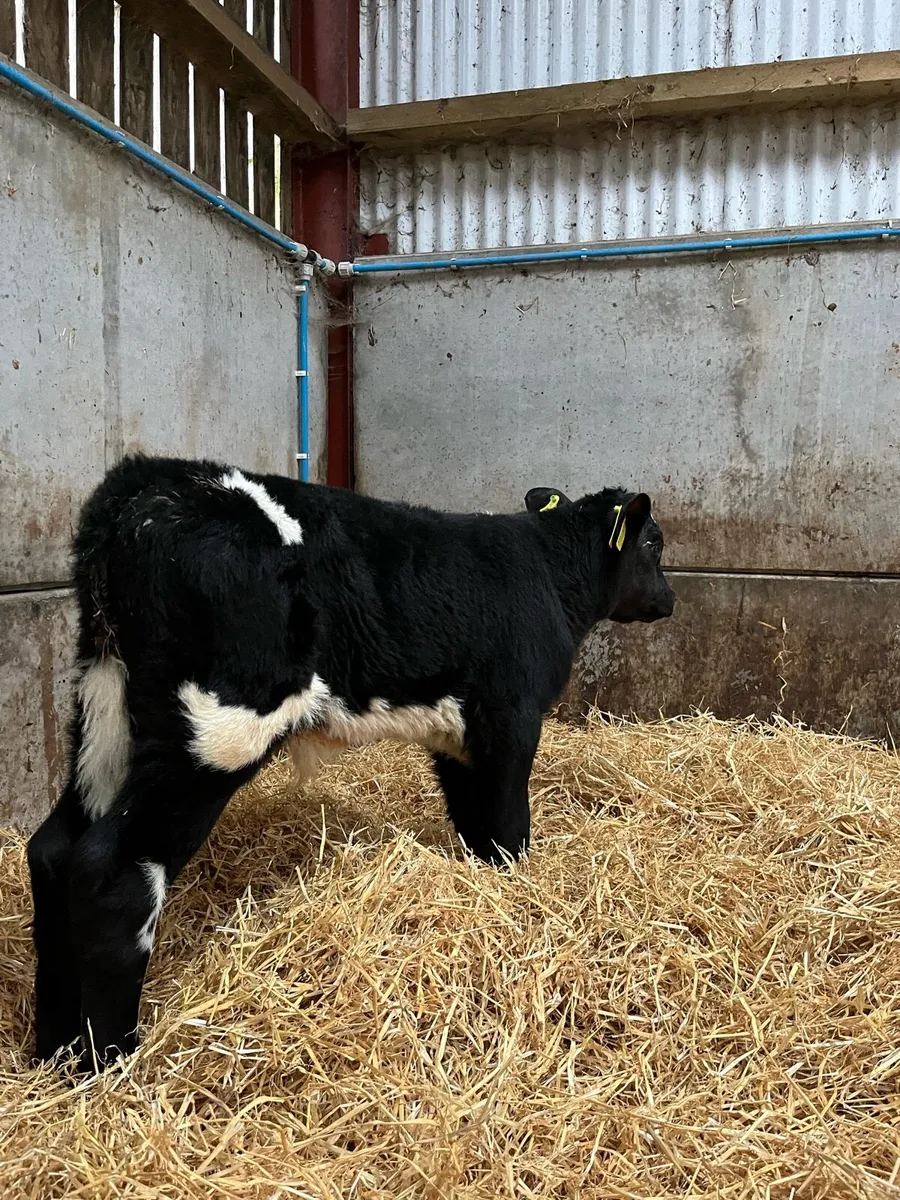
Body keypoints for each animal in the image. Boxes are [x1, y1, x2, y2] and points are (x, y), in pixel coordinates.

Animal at [26, 455, 675, 1070]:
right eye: (653, 543)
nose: (668, 601)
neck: (548, 573)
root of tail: (143, 483)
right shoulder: (510, 719)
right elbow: (508, 826)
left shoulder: (457, 738)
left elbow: (477, 827)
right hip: (217, 732)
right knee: (112, 870)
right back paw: (111, 1057)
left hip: (104, 709)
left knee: (53, 849)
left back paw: (55, 1050)